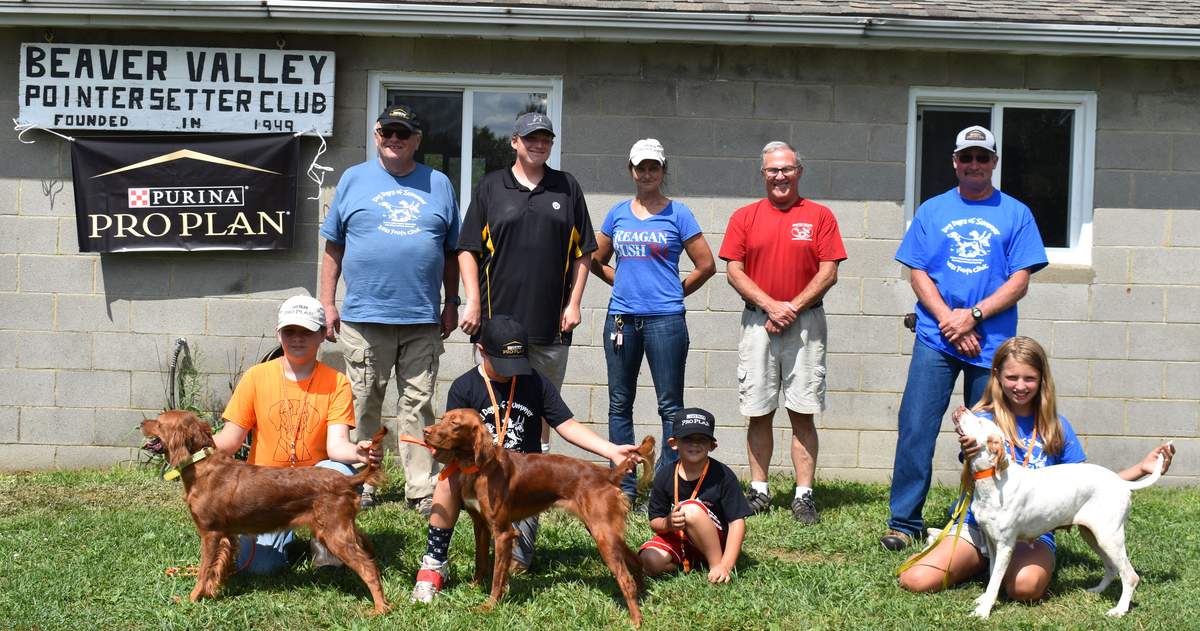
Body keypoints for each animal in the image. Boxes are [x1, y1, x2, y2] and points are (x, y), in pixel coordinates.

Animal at [142, 410, 388, 614]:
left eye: (159, 423)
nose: (141, 423)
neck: (201, 464)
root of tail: (346, 480)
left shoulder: (210, 533)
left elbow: (204, 570)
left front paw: (192, 598)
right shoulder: (226, 536)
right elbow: (217, 569)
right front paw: (211, 594)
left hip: (334, 533)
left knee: (368, 567)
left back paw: (380, 609)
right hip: (342, 528)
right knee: (368, 551)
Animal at [427, 410, 657, 628]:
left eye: (454, 423)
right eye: (444, 417)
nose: (426, 431)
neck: (479, 467)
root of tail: (607, 474)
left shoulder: (503, 533)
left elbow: (497, 576)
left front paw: (490, 605)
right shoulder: (481, 525)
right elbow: (481, 561)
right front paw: (474, 588)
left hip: (603, 534)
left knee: (626, 579)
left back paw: (636, 620)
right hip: (606, 532)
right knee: (636, 560)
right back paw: (642, 595)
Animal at [950, 407, 1166, 619]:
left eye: (980, 422)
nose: (960, 407)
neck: (993, 481)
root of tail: (1120, 482)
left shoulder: (1005, 546)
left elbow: (995, 581)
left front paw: (984, 611)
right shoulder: (991, 542)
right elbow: (992, 576)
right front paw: (984, 600)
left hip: (1109, 538)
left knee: (1130, 576)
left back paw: (1120, 609)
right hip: (1093, 536)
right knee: (1112, 568)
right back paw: (1097, 590)